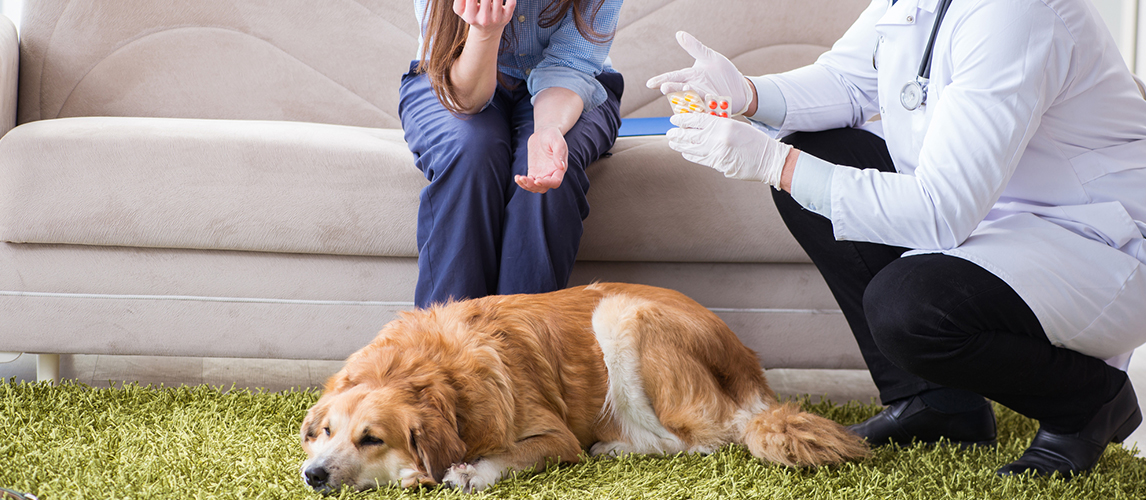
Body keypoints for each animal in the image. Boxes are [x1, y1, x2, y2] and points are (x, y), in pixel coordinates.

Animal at [300, 280, 861, 493]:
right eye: (326, 432)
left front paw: (470, 472)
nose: (312, 474)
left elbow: (511, 456)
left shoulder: (555, 437)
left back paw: (616, 447)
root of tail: (746, 362)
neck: (434, 374)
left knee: (705, 439)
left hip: (620, 315)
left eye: (372, 438)